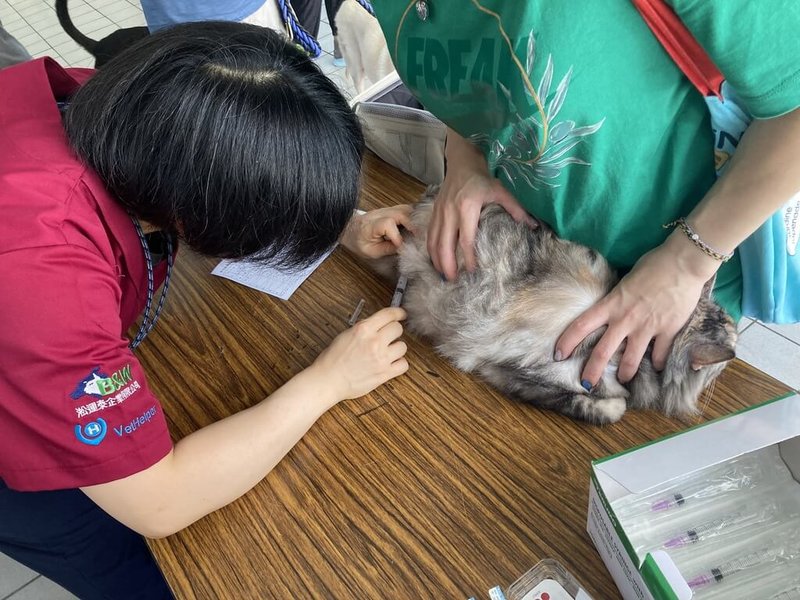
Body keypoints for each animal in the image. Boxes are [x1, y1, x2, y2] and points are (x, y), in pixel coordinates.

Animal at [376, 189, 736, 426]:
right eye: (730, 330)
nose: (737, 339)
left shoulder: (509, 373)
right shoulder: (543, 377)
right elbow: (606, 410)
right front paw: (615, 403)